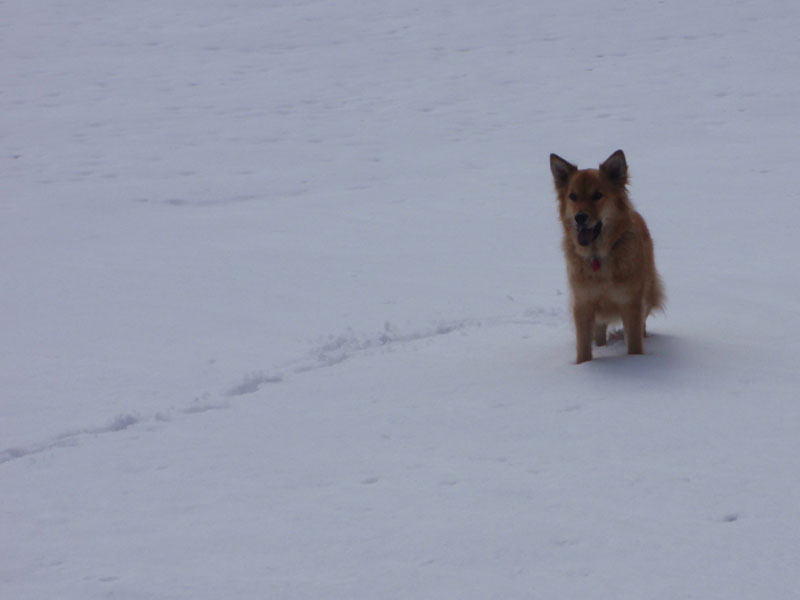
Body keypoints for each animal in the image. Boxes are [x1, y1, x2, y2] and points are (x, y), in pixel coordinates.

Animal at [552, 150, 664, 366]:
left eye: (597, 195)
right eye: (573, 196)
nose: (580, 217)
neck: (598, 256)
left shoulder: (631, 303)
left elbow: (634, 343)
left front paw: (636, 363)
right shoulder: (583, 304)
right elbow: (583, 347)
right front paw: (584, 365)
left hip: (647, 294)